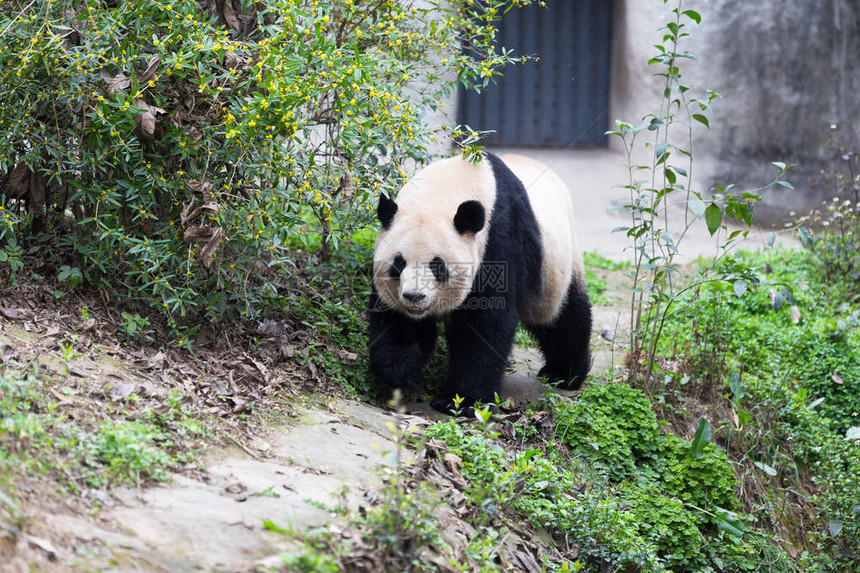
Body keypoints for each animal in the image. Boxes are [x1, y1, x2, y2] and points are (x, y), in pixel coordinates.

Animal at [366, 150, 588, 414]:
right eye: (399, 263)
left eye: (437, 265)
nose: (414, 297)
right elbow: (396, 320)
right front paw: (401, 371)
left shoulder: (499, 240)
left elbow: (486, 324)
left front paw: (460, 399)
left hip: (556, 264)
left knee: (564, 315)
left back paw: (564, 374)